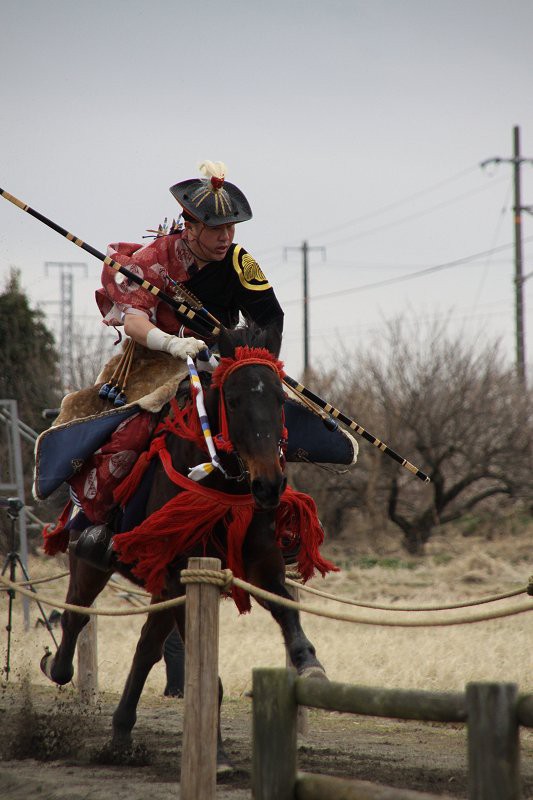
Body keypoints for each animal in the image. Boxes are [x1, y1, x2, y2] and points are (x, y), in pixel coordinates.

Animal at [40, 324, 328, 768]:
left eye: (279, 400)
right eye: (234, 400)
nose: (269, 485)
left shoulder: (259, 564)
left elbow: (286, 611)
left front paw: (310, 664)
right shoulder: (180, 575)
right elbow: (205, 672)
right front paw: (218, 755)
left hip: (158, 584)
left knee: (145, 647)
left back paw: (121, 732)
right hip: (91, 561)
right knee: (75, 618)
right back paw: (58, 670)